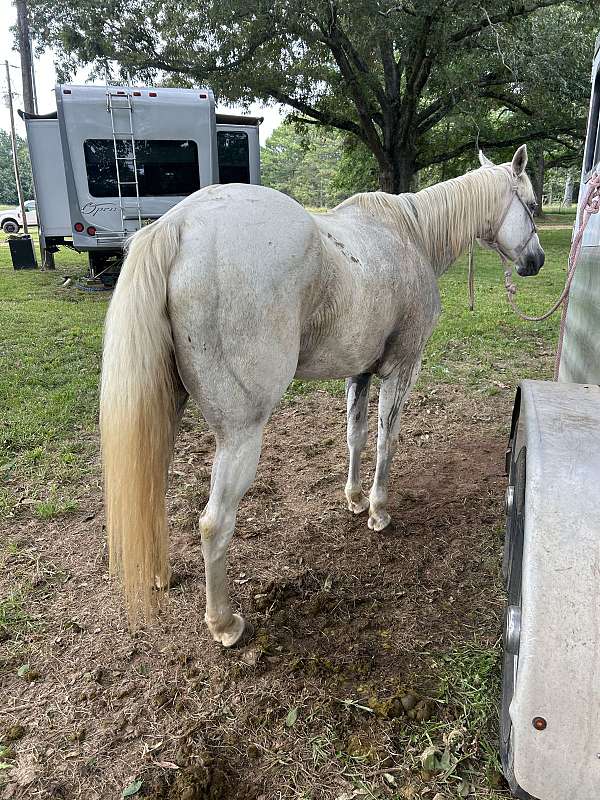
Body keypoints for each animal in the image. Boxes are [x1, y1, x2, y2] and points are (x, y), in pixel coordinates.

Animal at [102, 142, 544, 644]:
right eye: (532, 205)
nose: (536, 260)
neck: (411, 235)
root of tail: (179, 225)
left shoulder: (361, 372)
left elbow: (356, 435)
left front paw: (353, 498)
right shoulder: (401, 370)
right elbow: (386, 440)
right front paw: (378, 510)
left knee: (150, 489)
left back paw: (158, 573)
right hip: (240, 436)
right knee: (214, 523)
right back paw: (224, 623)